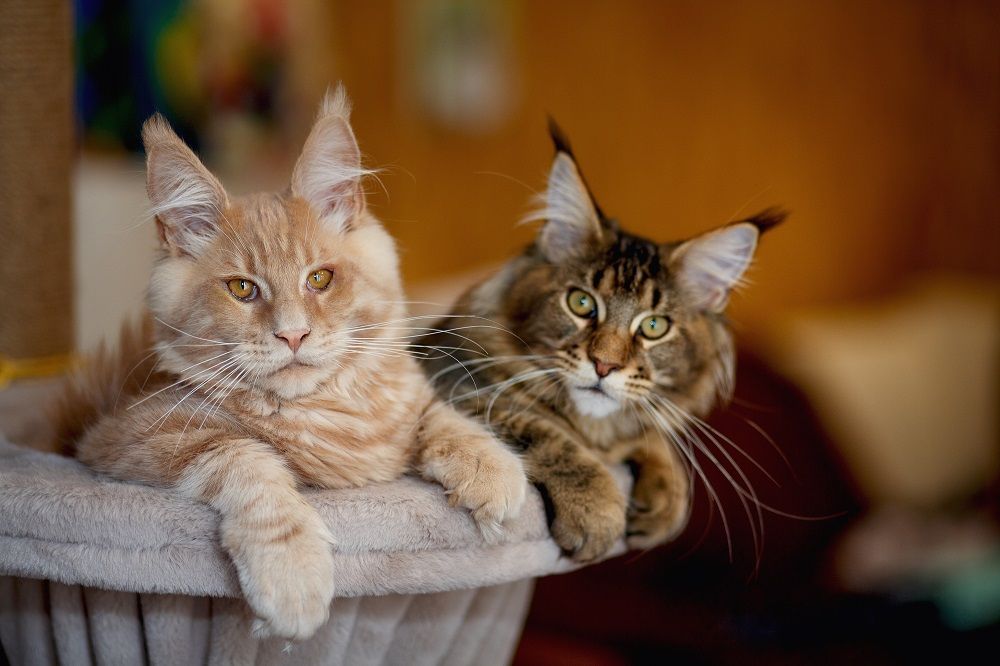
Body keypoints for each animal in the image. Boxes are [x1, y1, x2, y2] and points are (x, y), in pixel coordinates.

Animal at [56, 87, 524, 640]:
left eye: (319, 279)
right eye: (242, 288)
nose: (293, 334)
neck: (327, 413)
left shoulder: (406, 407)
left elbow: (440, 416)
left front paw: (490, 468)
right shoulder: (126, 437)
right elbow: (246, 461)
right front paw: (292, 576)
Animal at [418, 124, 784, 560]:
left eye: (654, 326)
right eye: (581, 303)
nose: (604, 365)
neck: (596, 430)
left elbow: (652, 435)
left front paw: (667, 500)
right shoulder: (457, 381)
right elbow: (548, 432)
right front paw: (597, 513)